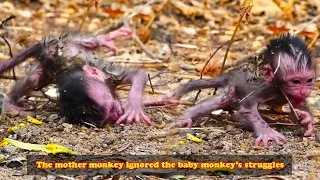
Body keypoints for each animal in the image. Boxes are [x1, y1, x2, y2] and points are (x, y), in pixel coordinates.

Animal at [152, 34, 316, 148]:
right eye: (295, 82)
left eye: (309, 81)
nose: (303, 91)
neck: (278, 87)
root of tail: (231, 74)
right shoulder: (263, 87)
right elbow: (247, 109)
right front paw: (267, 132)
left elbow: (296, 113)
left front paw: (307, 119)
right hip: (233, 87)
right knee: (223, 100)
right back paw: (188, 115)